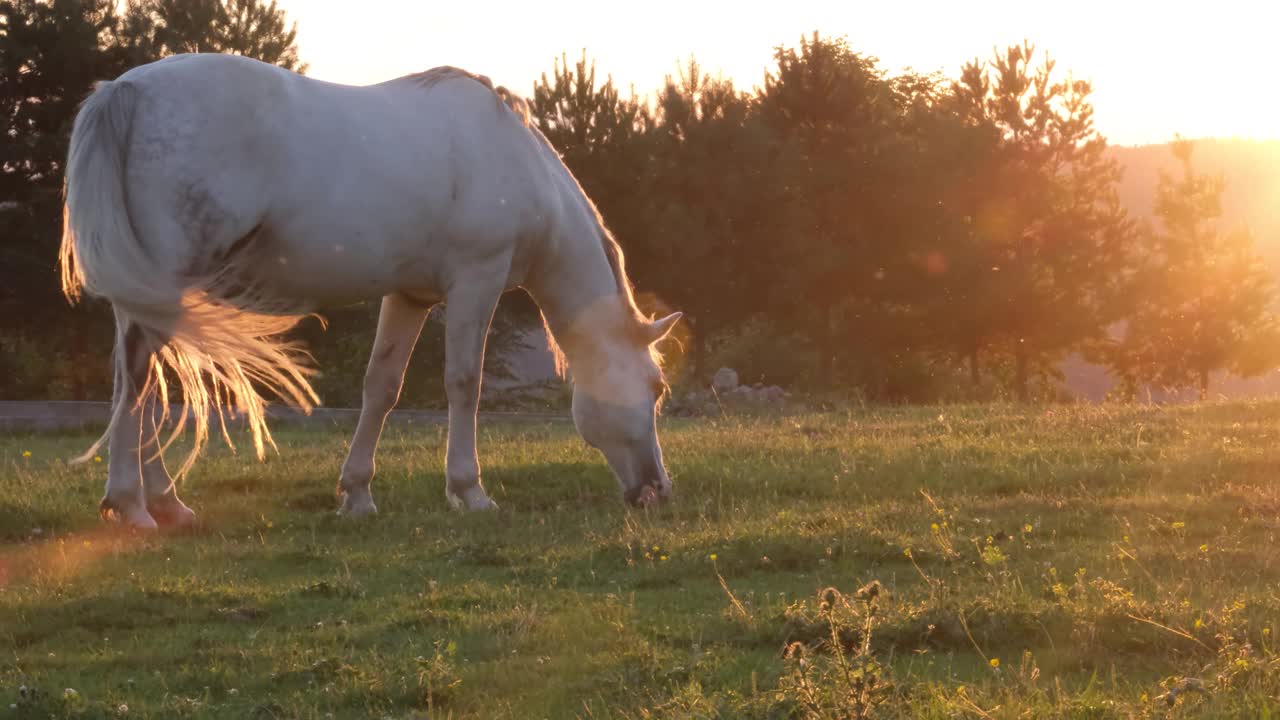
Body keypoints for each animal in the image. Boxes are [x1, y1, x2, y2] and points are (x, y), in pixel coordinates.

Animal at [57, 54, 680, 527]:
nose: (658, 490)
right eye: (655, 388)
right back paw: (132, 505)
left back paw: (167, 503)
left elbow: (381, 386)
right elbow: (464, 384)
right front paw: (469, 491)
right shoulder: (476, 281)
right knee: (138, 381)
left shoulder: (410, 296)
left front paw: (356, 494)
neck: (514, 162)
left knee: (142, 382)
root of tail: (126, 91)